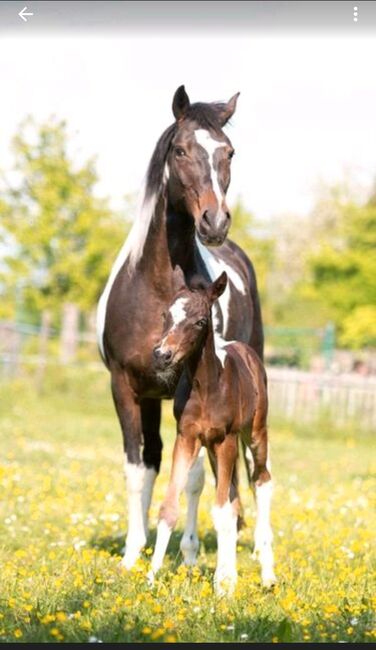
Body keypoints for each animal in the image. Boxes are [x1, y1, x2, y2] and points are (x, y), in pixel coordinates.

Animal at [95, 86, 262, 568]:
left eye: (229, 152)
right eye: (181, 150)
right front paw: (133, 553)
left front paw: (186, 554)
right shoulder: (127, 388)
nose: (215, 222)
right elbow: (140, 467)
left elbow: (193, 478)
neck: (155, 285)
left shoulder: (191, 396)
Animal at [150, 270, 276, 588]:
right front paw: (150, 578)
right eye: (165, 315)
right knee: (232, 500)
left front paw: (222, 585)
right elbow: (169, 508)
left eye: (200, 321)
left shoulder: (226, 440)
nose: (162, 355)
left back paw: (267, 573)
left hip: (255, 434)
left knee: (261, 480)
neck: (206, 387)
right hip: (210, 449)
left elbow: (221, 511)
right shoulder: (187, 438)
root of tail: (244, 348)